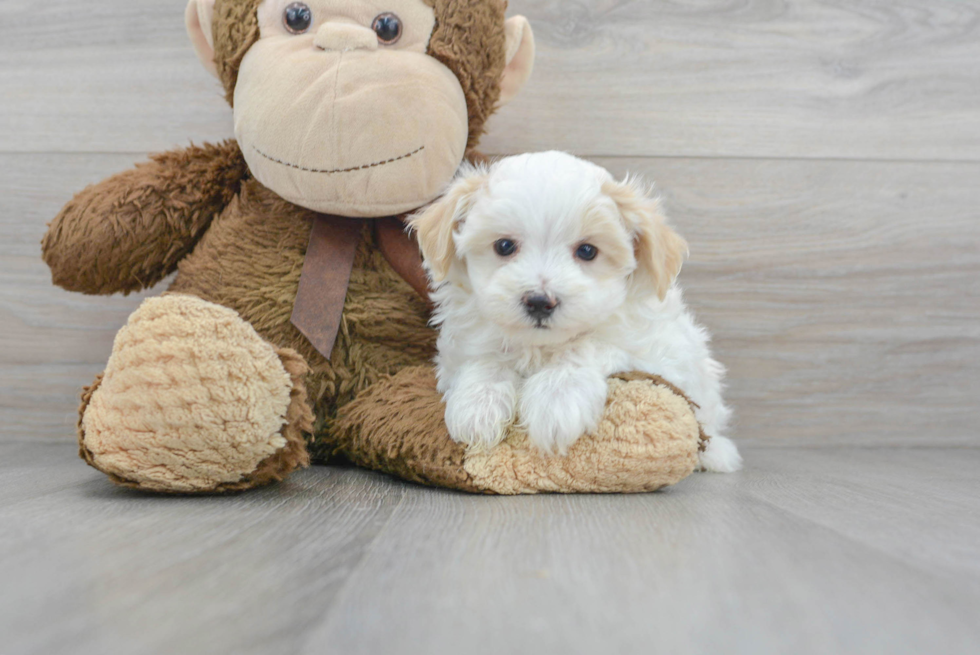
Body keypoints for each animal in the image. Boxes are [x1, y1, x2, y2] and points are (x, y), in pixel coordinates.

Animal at [408, 152, 744, 474]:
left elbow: (585, 345)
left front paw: (556, 398)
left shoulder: (653, 354)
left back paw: (716, 454)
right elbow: (487, 359)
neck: (538, 346)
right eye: (504, 246)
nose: (540, 301)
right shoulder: (460, 349)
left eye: (587, 251)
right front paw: (478, 405)